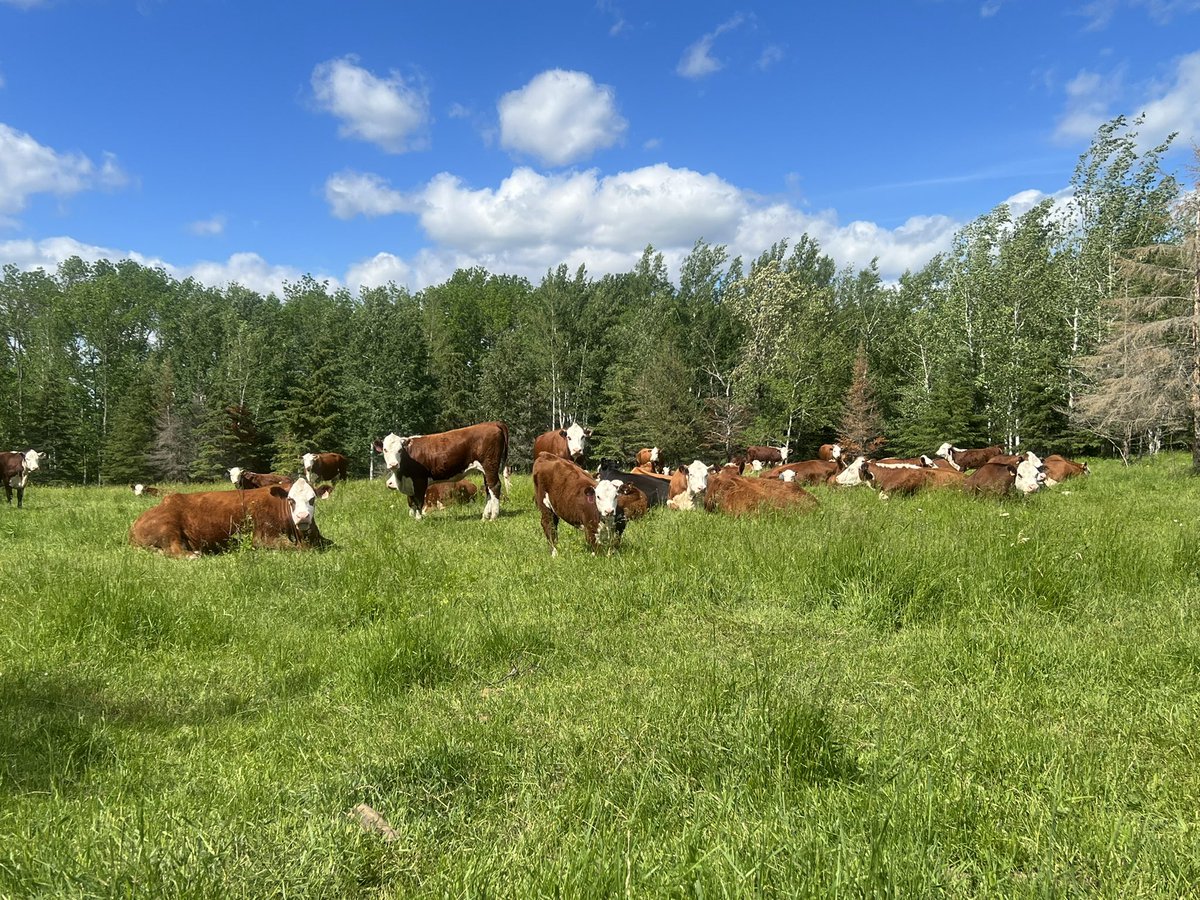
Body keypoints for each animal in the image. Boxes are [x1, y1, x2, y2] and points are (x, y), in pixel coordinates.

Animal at [129, 478, 330, 559]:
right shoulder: (263, 539)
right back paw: (193, 555)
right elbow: (299, 548)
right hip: (167, 527)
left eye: (312, 499)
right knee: (174, 550)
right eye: (291, 500)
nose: (303, 517)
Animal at [374, 421, 509, 521]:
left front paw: (418, 519)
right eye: (385, 450)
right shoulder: (409, 483)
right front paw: (412, 518)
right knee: (488, 489)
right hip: (486, 470)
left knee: (494, 486)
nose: (393, 464)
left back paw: (493, 516)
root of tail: (492, 423)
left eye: (400, 450)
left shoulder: (419, 480)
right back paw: (485, 516)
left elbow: (418, 501)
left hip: (490, 465)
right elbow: (411, 501)